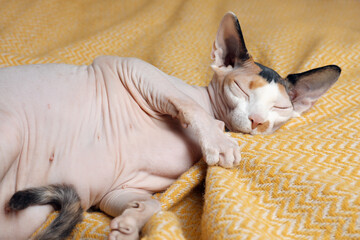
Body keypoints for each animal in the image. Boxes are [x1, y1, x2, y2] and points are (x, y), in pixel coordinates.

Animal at [0, 13, 338, 240]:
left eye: (280, 108)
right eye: (241, 90)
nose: (258, 121)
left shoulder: (113, 190)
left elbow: (153, 205)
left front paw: (128, 225)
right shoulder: (129, 66)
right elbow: (188, 105)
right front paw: (220, 142)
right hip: (11, 132)